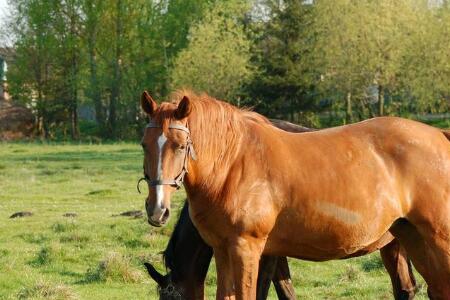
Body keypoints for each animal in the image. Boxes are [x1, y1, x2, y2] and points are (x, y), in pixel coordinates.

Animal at [139, 90, 448, 298]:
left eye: (180, 145)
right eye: (144, 144)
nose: (157, 210)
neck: (234, 163)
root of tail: (440, 136)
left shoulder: (250, 249)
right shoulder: (223, 249)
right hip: (411, 237)